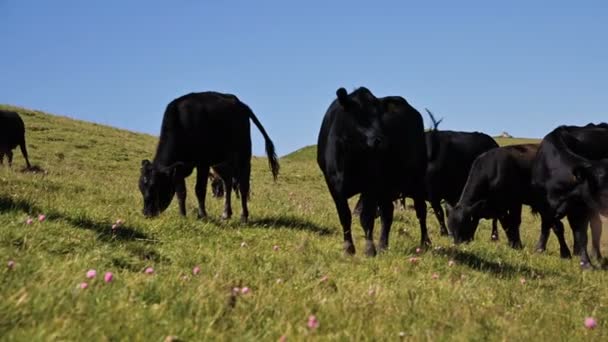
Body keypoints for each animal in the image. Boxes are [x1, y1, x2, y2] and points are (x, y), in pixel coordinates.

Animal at [139, 92, 280, 223]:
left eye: (155, 186)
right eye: (141, 188)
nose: (146, 213)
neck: (181, 123)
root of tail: (241, 104)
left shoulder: (203, 163)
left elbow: (199, 189)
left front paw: (202, 215)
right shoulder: (179, 168)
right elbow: (181, 192)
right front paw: (182, 216)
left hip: (243, 155)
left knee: (243, 186)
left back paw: (244, 217)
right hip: (221, 163)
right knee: (228, 183)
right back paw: (226, 214)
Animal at [318, 87, 428, 256]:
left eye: (379, 117)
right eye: (358, 115)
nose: (380, 140)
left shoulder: (370, 184)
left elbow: (367, 217)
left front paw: (369, 249)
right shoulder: (333, 185)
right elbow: (344, 216)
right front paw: (348, 248)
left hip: (417, 179)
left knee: (421, 211)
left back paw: (424, 244)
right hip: (387, 187)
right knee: (387, 213)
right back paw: (383, 245)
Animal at [528, 123, 608, 268]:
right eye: (603, 191)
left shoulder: (580, 208)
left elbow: (581, 234)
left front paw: (585, 262)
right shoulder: (545, 207)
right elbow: (556, 227)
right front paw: (563, 253)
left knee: (595, 226)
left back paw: (596, 255)